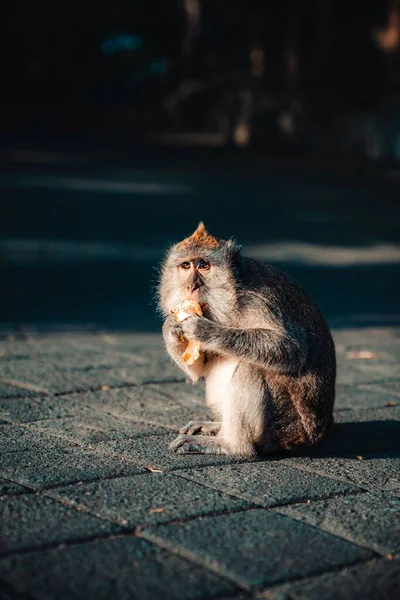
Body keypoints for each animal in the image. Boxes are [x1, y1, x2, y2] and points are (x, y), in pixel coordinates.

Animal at [156, 223, 334, 458]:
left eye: (203, 265)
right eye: (185, 266)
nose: (190, 286)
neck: (233, 293)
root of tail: (321, 433)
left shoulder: (260, 300)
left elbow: (291, 350)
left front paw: (204, 330)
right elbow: (200, 367)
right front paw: (170, 327)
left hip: (287, 430)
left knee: (252, 367)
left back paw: (232, 445)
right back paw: (217, 429)